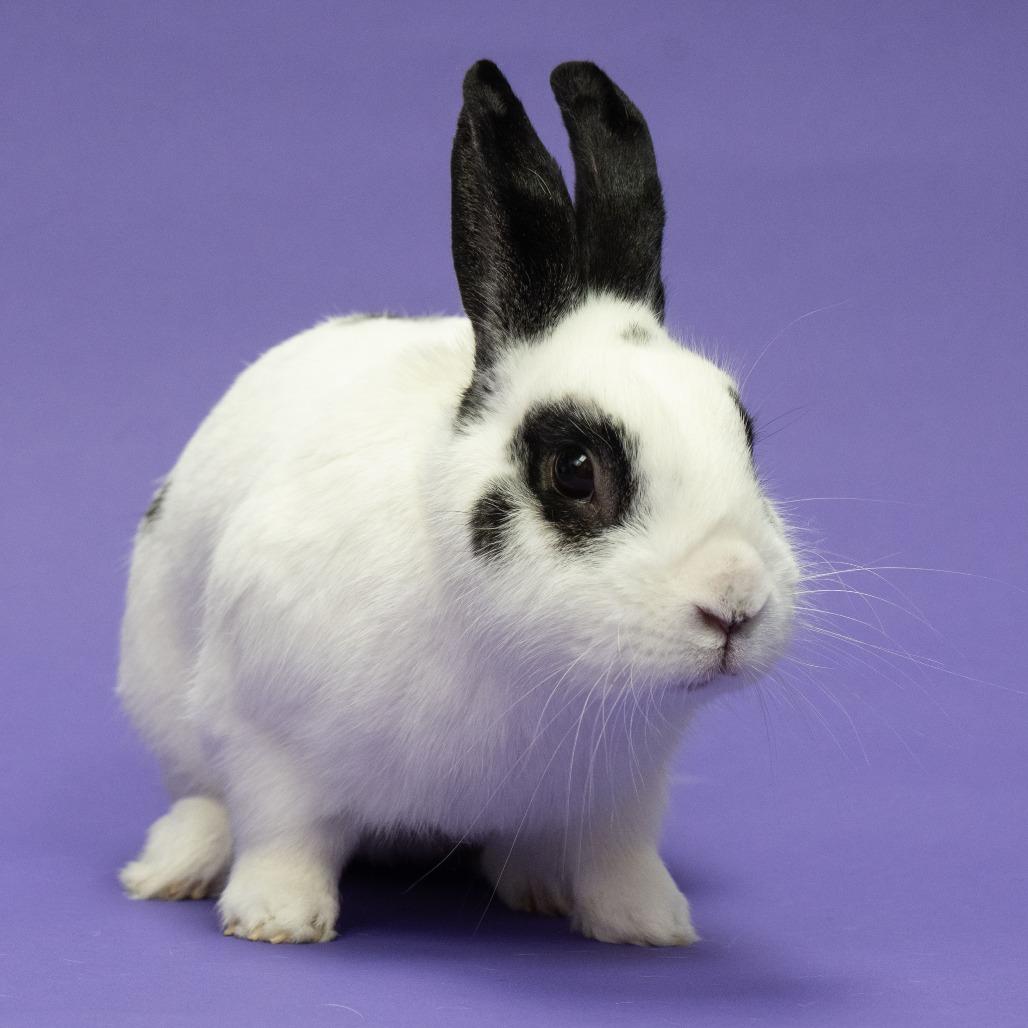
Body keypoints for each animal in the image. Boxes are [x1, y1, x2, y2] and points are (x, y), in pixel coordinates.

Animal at [116, 60, 799, 947]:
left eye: (743, 433)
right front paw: (276, 918)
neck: (531, 664)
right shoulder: (265, 736)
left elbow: (620, 855)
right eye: (573, 470)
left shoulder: (625, 789)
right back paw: (172, 869)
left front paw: (649, 925)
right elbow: (281, 832)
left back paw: (538, 885)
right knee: (203, 799)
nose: (735, 603)